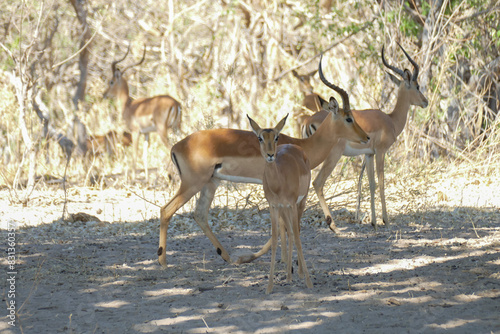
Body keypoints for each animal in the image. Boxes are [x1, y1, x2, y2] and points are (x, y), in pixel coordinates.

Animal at [102, 45, 183, 181]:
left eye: (111, 82)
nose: (104, 94)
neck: (128, 105)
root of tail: (175, 103)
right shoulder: (146, 133)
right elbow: (145, 155)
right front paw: (145, 178)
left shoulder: (135, 132)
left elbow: (135, 154)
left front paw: (133, 178)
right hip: (177, 128)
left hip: (162, 130)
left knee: (170, 149)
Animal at [298, 44, 428, 230]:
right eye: (417, 86)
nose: (425, 102)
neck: (391, 120)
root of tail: (308, 120)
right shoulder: (380, 152)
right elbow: (381, 182)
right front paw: (385, 220)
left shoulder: (369, 154)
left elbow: (371, 184)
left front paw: (373, 221)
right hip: (333, 155)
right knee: (318, 182)